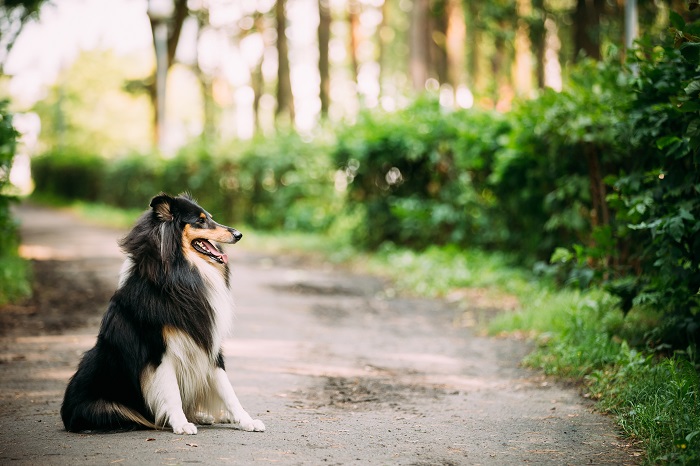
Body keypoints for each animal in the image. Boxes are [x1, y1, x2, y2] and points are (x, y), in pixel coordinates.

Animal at [59, 192, 266, 434]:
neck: (178, 280)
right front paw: (181, 424)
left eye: (210, 217)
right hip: (105, 407)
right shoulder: (159, 351)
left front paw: (247, 420)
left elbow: (228, 390)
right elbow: (171, 392)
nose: (238, 234)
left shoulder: (208, 343)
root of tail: (65, 414)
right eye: (200, 221)